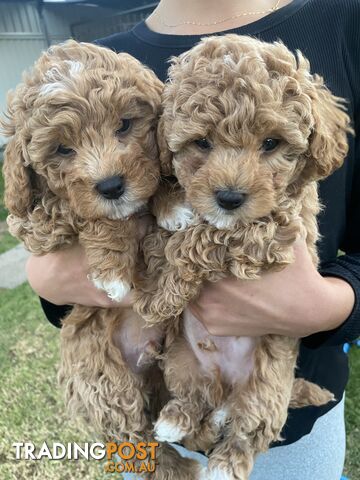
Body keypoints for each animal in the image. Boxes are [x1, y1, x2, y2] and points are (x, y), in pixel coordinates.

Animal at [0, 41, 202, 480]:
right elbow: (92, 216)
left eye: (125, 125)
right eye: (62, 148)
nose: (110, 186)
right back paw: (178, 466)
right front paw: (111, 270)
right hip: (102, 379)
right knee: (136, 438)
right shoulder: (39, 221)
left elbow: (154, 179)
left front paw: (172, 203)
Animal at [134, 34, 352, 480]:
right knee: (197, 400)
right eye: (202, 143)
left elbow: (197, 240)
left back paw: (225, 460)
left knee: (248, 427)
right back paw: (176, 418)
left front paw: (158, 296)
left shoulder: (273, 231)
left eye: (271, 143)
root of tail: (226, 387)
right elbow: (173, 229)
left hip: (267, 388)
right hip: (182, 363)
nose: (230, 198)